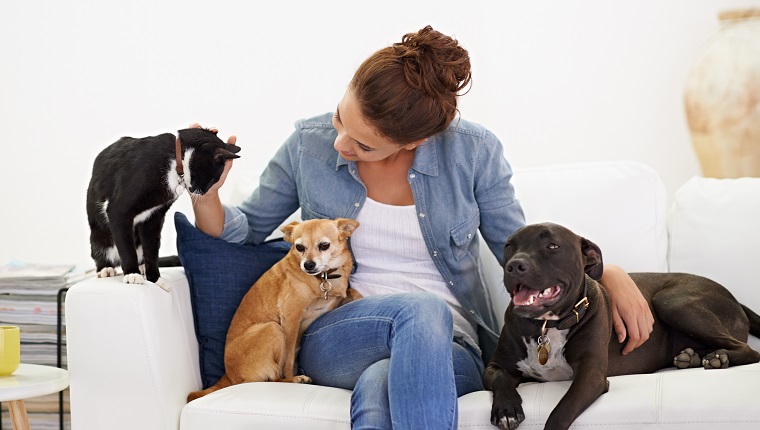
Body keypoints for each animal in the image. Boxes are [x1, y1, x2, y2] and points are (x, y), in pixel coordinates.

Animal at [84, 127, 238, 288]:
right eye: (213, 179)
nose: (203, 192)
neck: (176, 159)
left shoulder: (154, 216)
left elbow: (151, 248)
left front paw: (155, 279)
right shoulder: (119, 210)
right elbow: (126, 246)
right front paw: (132, 274)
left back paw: (142, 266)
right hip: (100, 235)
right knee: (101, 248)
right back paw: (106, 269)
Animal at [486, 223, 760, 430]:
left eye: (553, 246)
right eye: (509, 246)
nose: (514, 265)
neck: (546, 325)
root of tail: (735, 299)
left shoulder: (591, 375)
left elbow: (560, 412)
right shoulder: (495, 366)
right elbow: (501, 376)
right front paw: (507, 410)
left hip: (671, 301)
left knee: (750, 351)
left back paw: (719, 358)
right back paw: (692, 357)